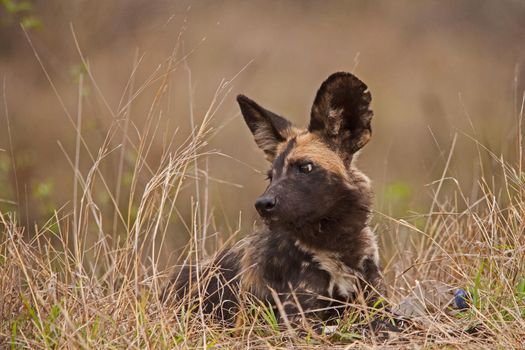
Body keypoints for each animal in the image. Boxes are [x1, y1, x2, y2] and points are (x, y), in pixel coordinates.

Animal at [164, 71, 384, 326]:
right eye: (271, 176)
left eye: (305, 167)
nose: (262, 204)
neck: (337, 246)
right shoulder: (301, 320)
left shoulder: (377, 302)